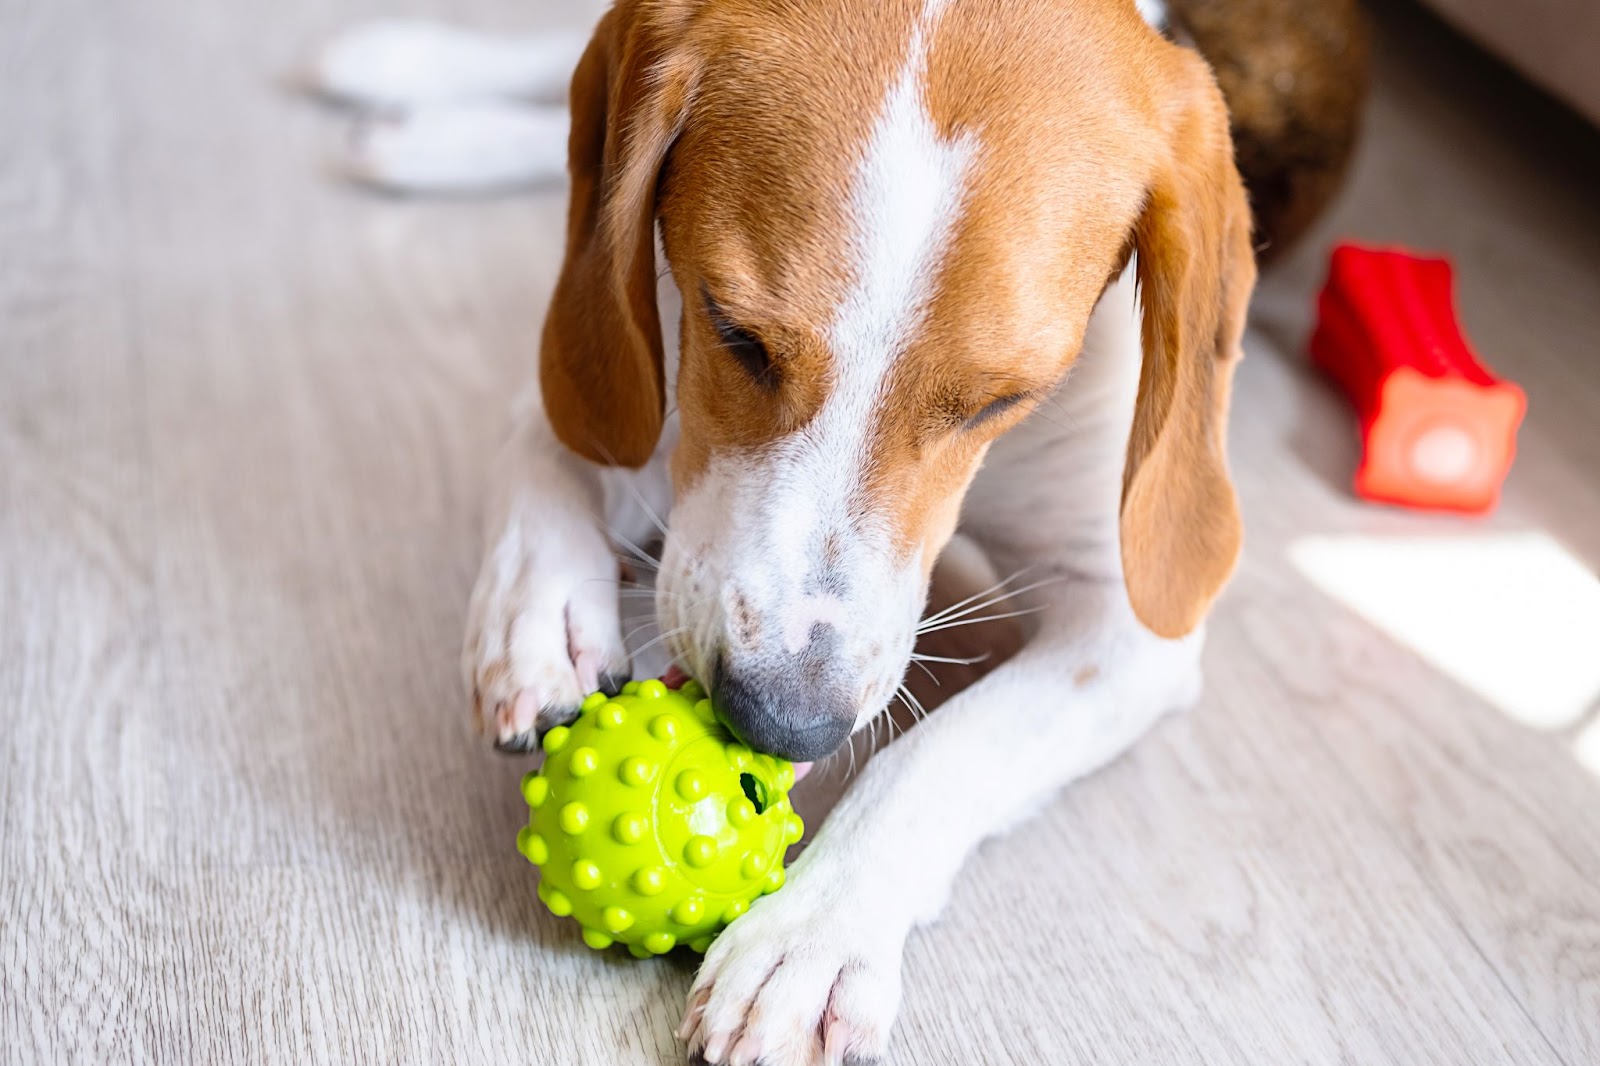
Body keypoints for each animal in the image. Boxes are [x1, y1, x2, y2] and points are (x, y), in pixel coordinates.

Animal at [312, 0, 1260, 1056]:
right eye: (736, 336)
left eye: (1004, 401)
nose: (779, 721)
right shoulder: (634, 347)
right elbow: (551, 429)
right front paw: (538, 615)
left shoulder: (1129, 628)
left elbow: (942, 753)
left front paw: (815, 935)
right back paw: (407, 77)